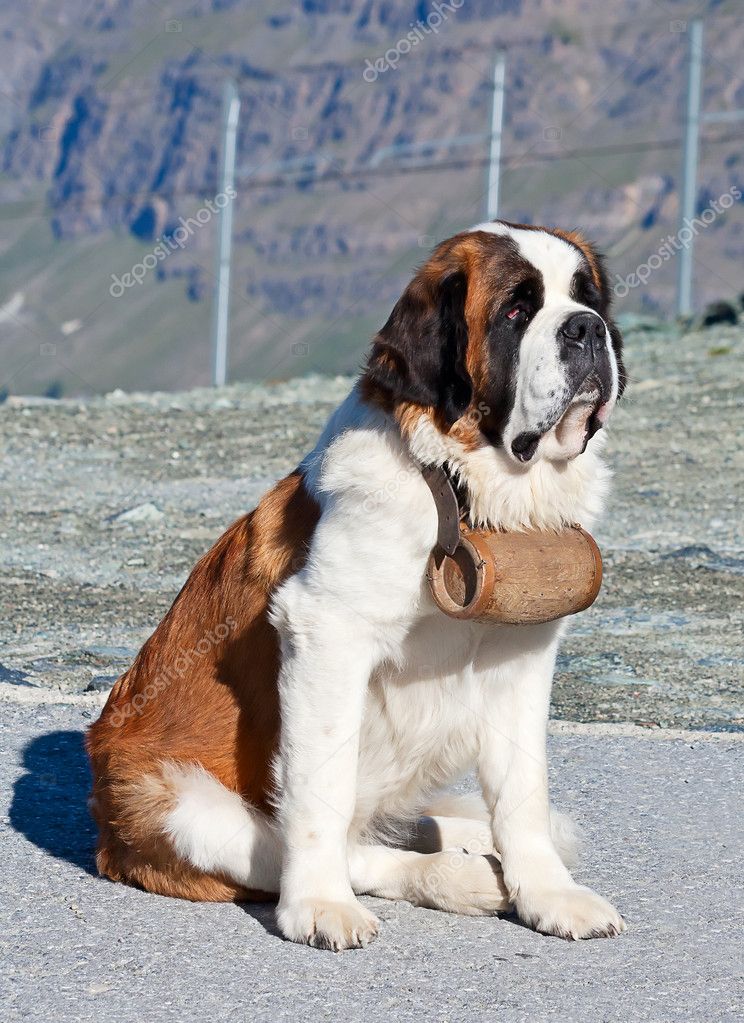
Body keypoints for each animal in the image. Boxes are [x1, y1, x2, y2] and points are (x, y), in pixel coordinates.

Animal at [88, 217, 630, 949]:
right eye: (518, 310)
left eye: (587, 298)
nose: (586, 329)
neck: (461, 490)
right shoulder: (326, 633)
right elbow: (321, 791)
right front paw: (319, 904)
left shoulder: (519, 658)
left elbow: (524, 792)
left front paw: (549, 894)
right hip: (181, 810)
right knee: (337, 843)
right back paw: (458, 876)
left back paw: (464, 840)